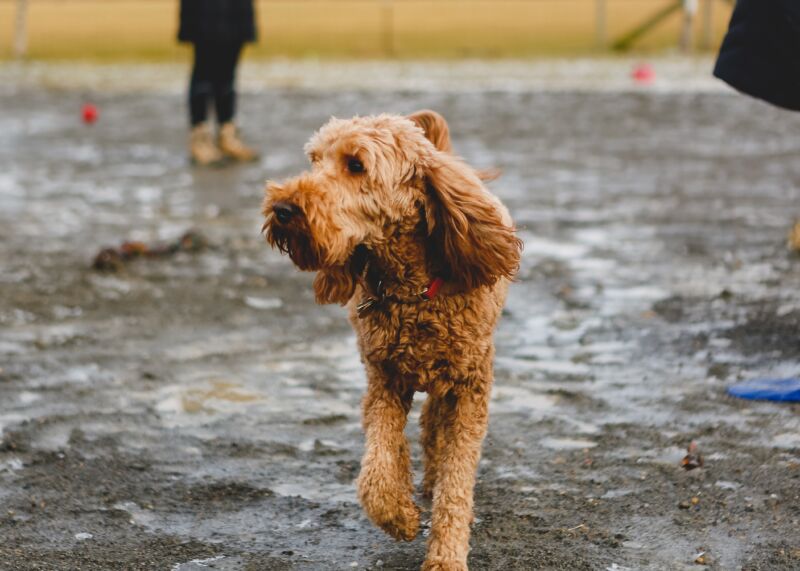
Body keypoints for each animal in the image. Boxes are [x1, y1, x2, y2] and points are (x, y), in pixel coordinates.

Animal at [264, 109, 524, 568]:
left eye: (356, 165)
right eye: (314, 160)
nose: (282, 208)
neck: (412, 292)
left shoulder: (470, 390)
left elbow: (458, 481)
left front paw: (446, 555)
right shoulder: (384, 383)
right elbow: (378, 470)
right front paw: (400, 516)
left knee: (436, 427)